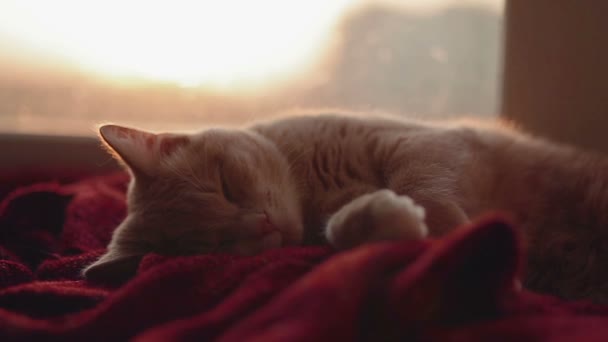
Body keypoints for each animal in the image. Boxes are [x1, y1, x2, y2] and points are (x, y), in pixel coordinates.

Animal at [84, 112, 608, 302]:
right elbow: (348, 234)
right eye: (217, 245)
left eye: (226, 186)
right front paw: (383, 220)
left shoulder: (422, 146)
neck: (312, 190)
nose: (263, 223)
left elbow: (427, 188)